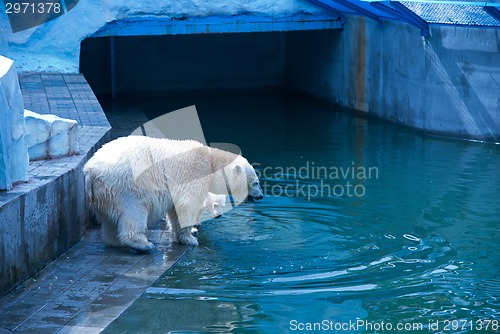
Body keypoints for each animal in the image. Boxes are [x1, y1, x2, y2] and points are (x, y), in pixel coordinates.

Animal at [83, 136, 262, 250]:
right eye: (255, 182)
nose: (260, 196)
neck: (212, 164)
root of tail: (91, 170)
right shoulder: (195, 174)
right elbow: (187, 205)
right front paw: (191, 239)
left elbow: (176, 210)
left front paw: (184, 236)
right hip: (125, 189)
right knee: (134, 213)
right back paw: (143, 244)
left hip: (104, 193)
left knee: (109, 219)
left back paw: (114, 241)